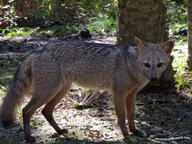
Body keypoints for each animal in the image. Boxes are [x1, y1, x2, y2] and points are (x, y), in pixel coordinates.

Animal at [0, 36, 174, 142]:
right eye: (147, 64)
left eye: (160, 65)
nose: (154, 78)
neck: (130, 64)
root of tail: (38, 49)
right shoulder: (118, 92)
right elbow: (121, 115)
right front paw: (126, 135)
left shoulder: (132, 93)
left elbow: (131, 114)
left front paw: (135, 131)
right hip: (47, 92)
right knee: (26, 110)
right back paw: (28, 137)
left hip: (59, 92)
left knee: (45, 111)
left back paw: (60, 131)